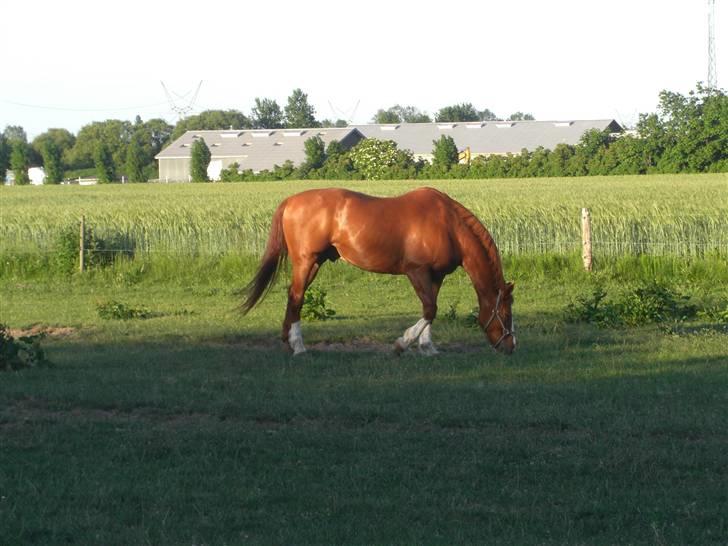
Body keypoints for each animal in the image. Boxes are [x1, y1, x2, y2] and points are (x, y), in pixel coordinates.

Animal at [242, 187, 516, 354]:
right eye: (505, 313)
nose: (511, 346)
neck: (448, 225)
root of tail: (291, 201)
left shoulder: (435, 276)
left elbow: (430, 311)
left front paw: (427, 347)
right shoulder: (416, 271)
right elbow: (430, 309)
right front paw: (402, 343)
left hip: (315, 263)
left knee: (293, 296)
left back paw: (288, 342)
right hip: (306, 261)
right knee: (297, 296)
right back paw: (298, 346)